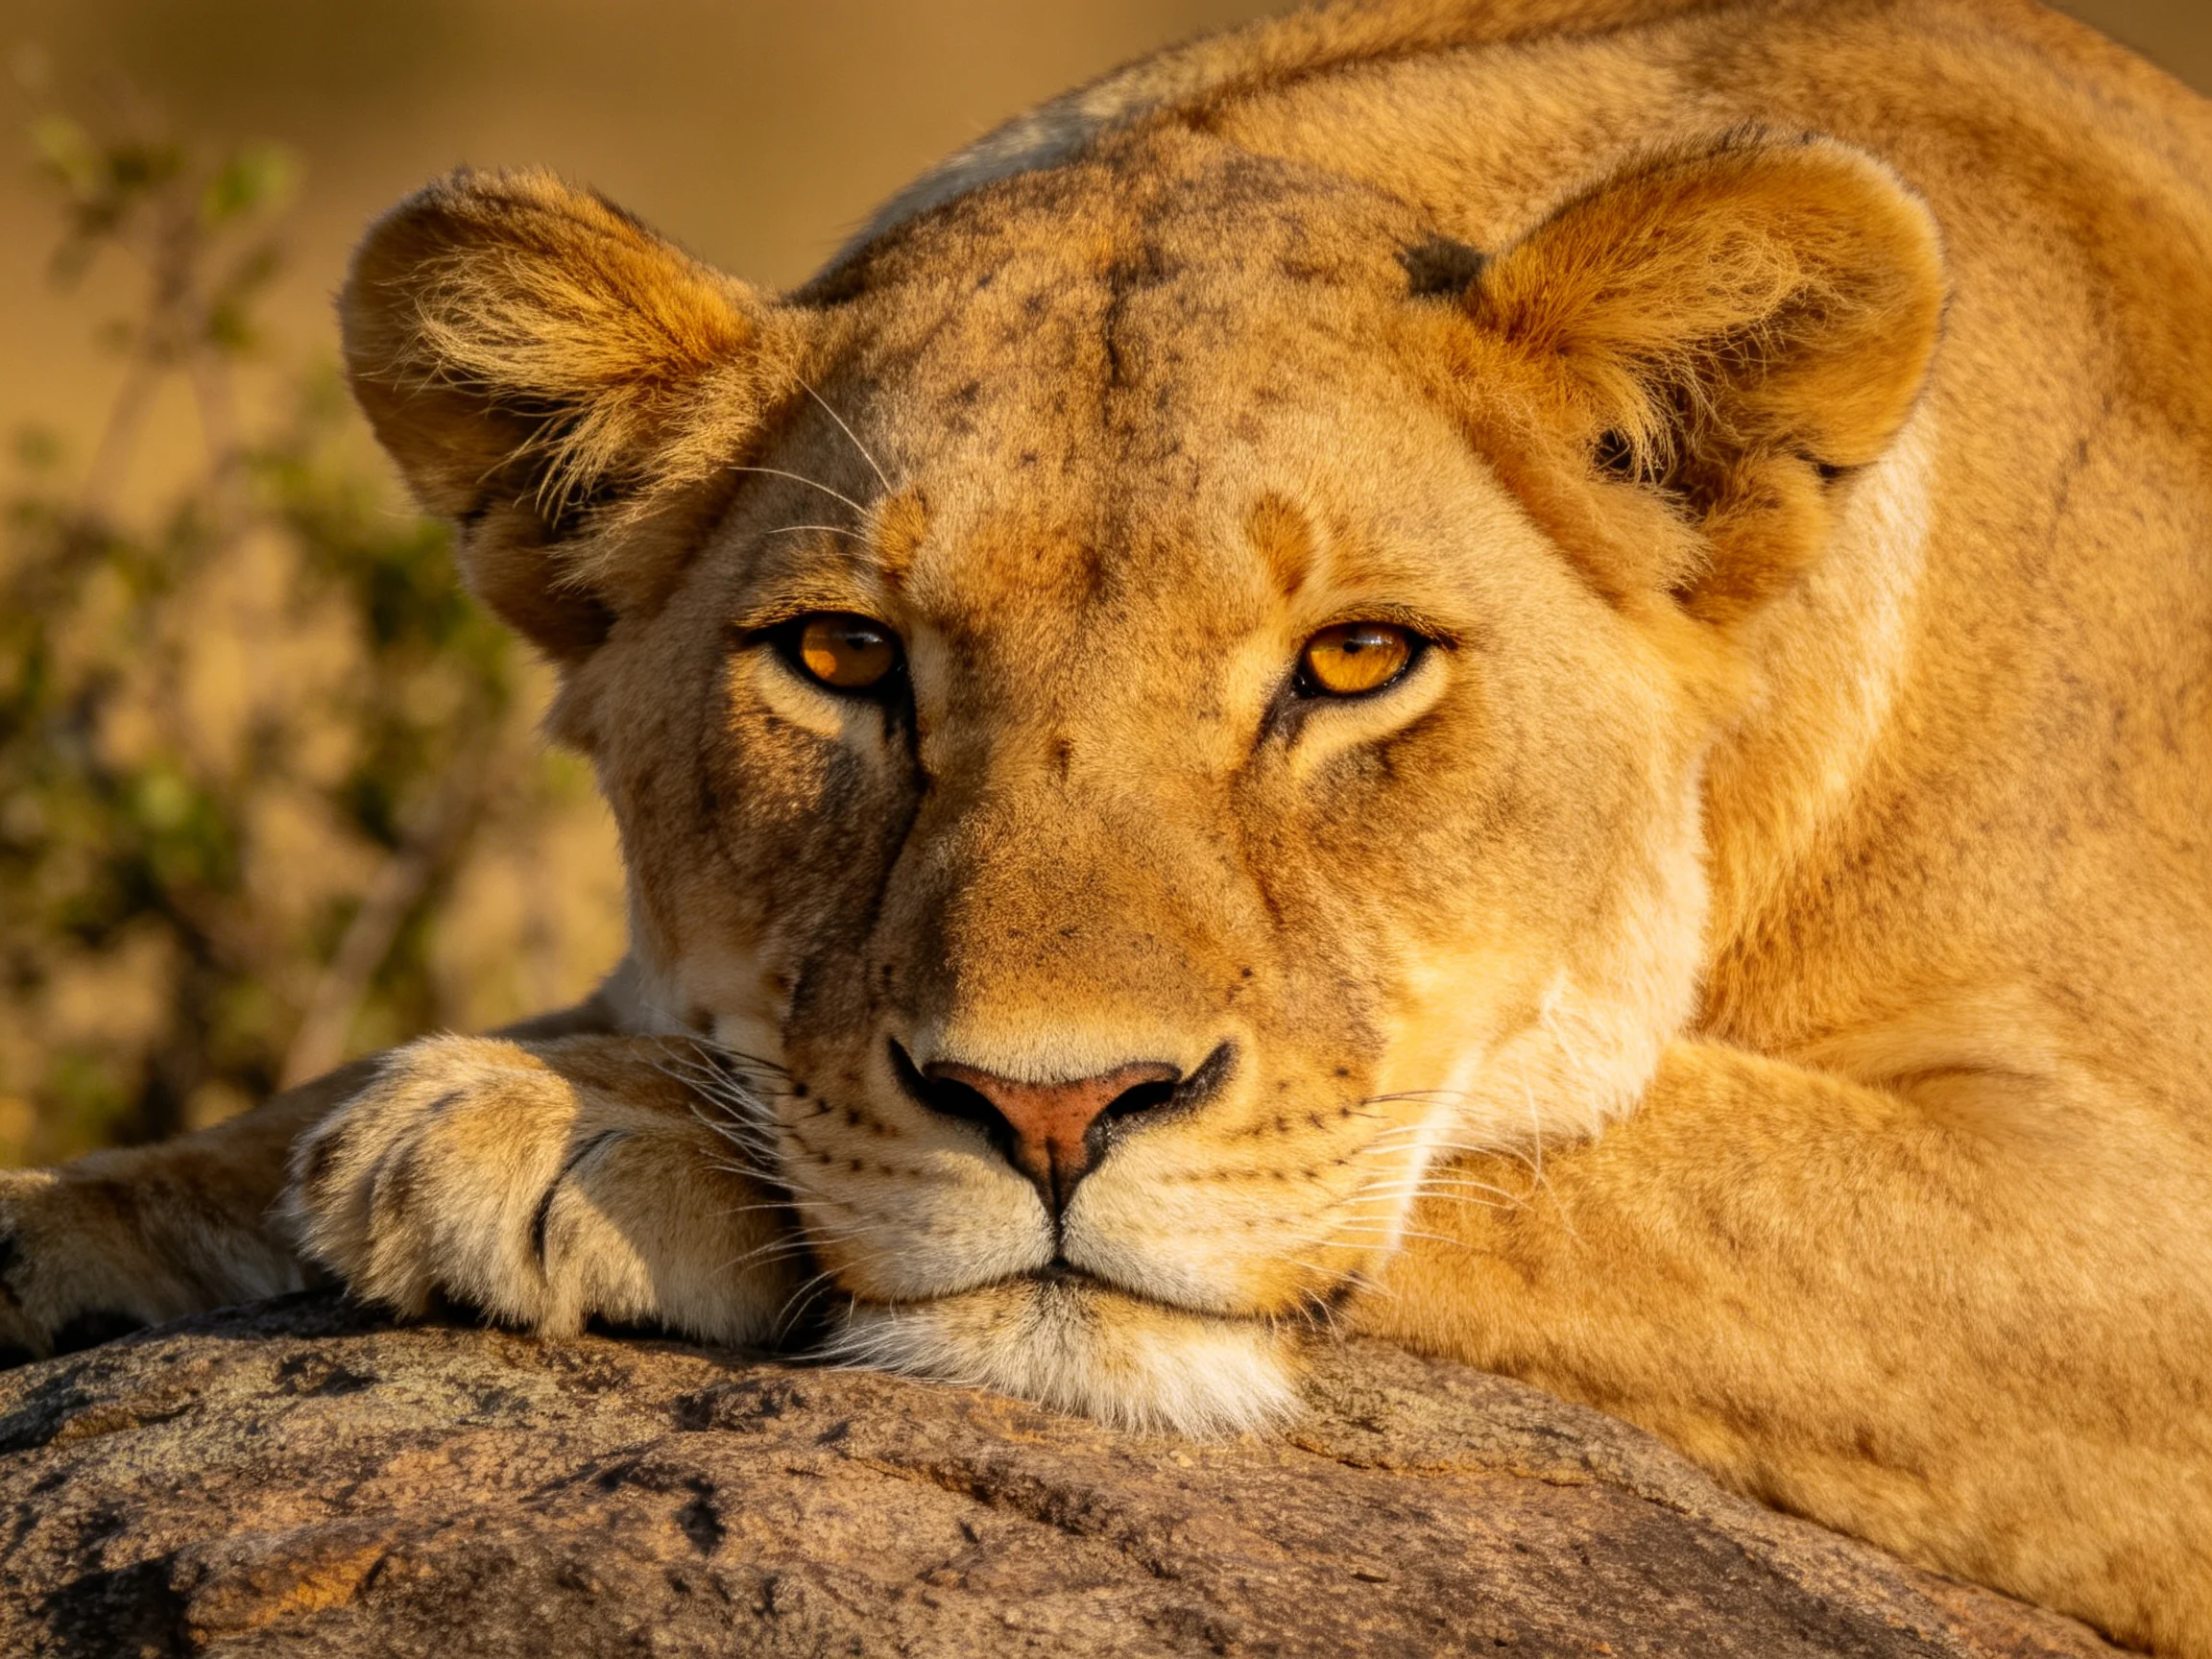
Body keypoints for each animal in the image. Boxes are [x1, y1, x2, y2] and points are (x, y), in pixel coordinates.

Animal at [3, 0, 2208, 1648]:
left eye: (1354, 662)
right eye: (841, 657)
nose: (1050, 1111)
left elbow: (1635, 1161)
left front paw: (571, 1131)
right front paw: (91, 1211)